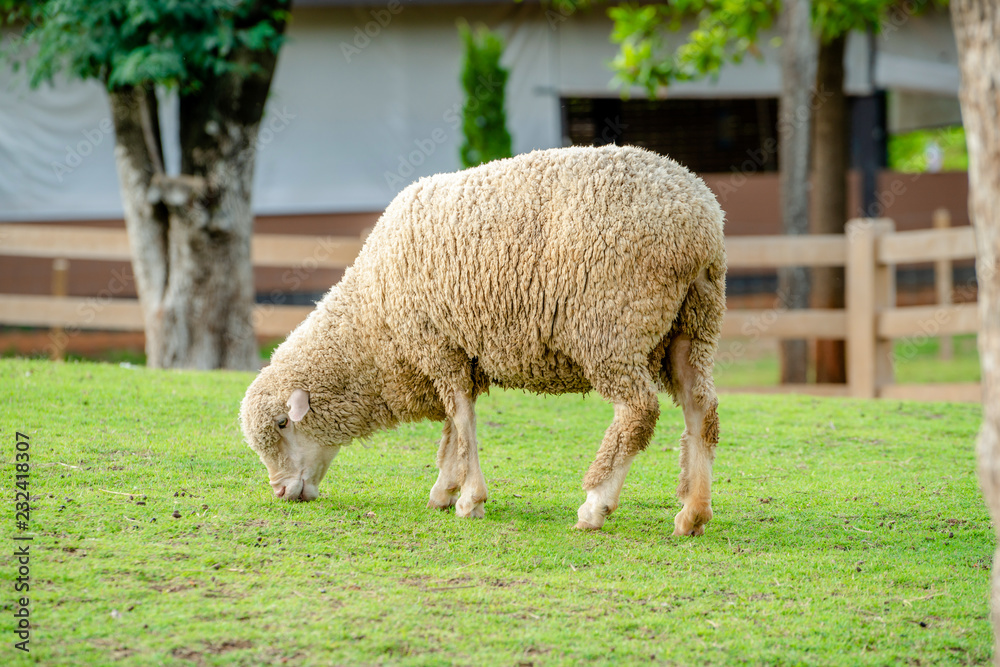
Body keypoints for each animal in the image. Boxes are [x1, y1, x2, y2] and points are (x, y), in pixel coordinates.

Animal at [242, 145, 728, 536]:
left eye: (283, 424)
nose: (281, 492)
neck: (371, 322)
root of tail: (703, 222)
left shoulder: (437, 345)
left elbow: (462, 421)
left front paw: (469, 499)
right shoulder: (454, 353)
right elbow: (452, 430)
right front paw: (445, 488)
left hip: (612, 325)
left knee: (638, 411)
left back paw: (595, 505)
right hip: (692, 326)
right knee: (701, 408)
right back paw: (692, 513)